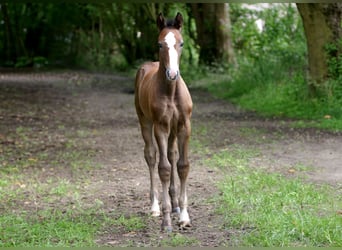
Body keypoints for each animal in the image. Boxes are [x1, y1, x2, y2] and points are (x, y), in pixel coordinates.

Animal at [134, 12, 192, 231]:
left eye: (181, 43)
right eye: (160, 44)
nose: (172, 74)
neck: (171, 92)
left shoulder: (184, 126)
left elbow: (182, 166)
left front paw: (184, 216)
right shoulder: (160, 127)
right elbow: (164, 169)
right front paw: (166, 221)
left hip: (173, 130)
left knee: (171, 154)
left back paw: (174, 205)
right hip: (145, 121)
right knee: (151, 156)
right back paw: (155, 207)